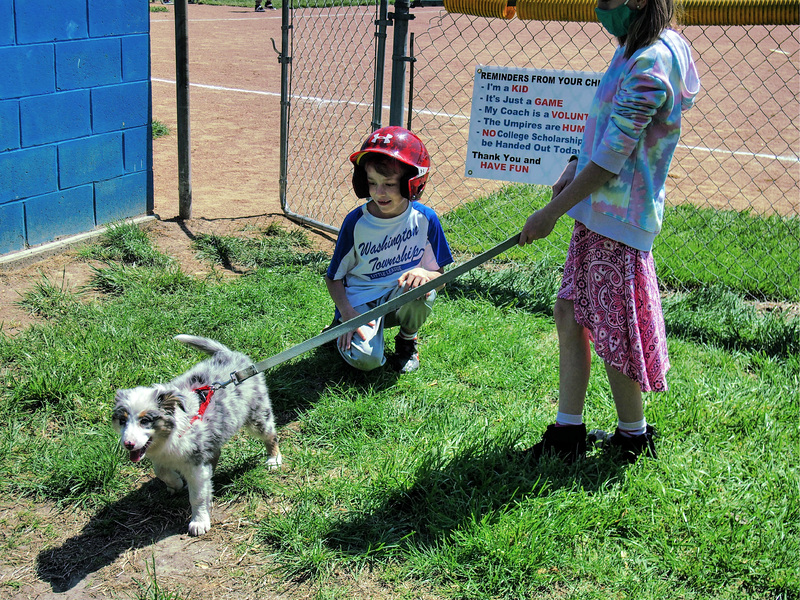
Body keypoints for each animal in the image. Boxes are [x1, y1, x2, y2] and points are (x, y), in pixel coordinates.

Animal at [111, 336, 282, 536]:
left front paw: (199, 522)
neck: (170, 435)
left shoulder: (195, 464)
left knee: (270, 435)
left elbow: (197, 497)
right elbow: (160, 471)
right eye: (122, 420)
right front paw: (176, 484)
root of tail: (229, 355)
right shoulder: (164, 456)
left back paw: (274, 459)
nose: (128, 444)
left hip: (257, 414)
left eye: (145, 420)